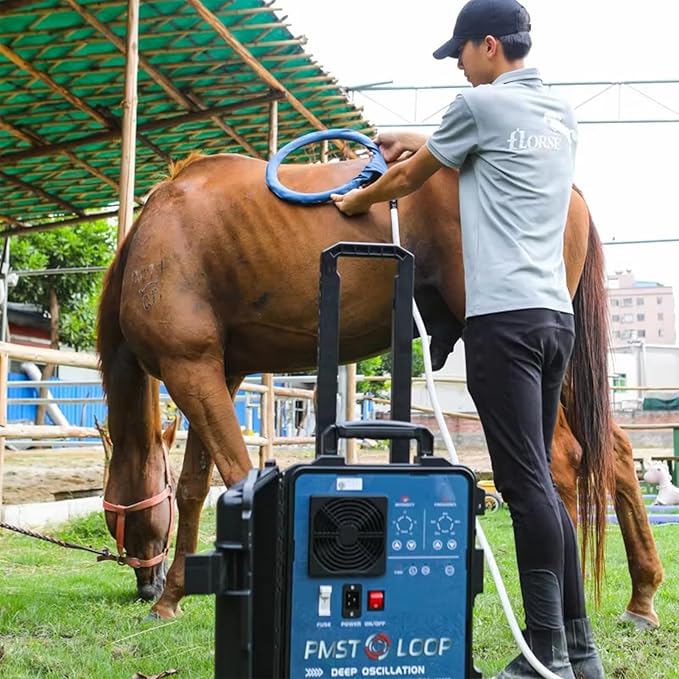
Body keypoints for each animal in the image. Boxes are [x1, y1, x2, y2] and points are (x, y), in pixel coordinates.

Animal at [96, 153, 663, 626]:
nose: (145, 586)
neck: (154, 236)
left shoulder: (189, 369)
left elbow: (234, 473)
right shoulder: (218, 372)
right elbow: (194, 489)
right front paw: (173, 597)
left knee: (563, 461)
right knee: (615, 454)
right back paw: (642, 598)